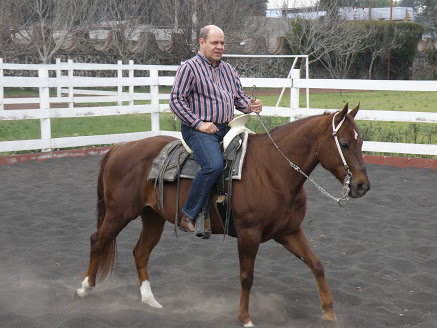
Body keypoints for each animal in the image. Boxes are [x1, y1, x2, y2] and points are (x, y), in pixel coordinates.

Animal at [74, 104, 368, 326]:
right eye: (344, 143)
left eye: (361, 141)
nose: (362, 186)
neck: (272, 170)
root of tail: (119, 148)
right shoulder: (249, 235)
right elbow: (246, 277)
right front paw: (245, 318)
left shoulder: (289, 231)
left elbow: (316, 264)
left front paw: (329, 313)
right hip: (118, 213)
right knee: (97, 241)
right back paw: (85, 288)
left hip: (152, 217)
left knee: (140, 252)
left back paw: (150, 300)